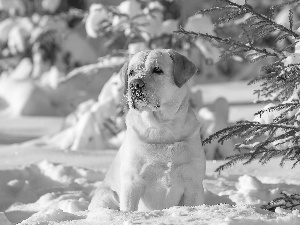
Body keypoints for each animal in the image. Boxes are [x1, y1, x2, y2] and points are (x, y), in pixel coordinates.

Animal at [89, 48, 206, 211]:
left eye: (157, 69)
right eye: (131, 72)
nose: (135, 84)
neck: (162, 129)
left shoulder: (193, 184)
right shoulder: (132, 183)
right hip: (107, 196)